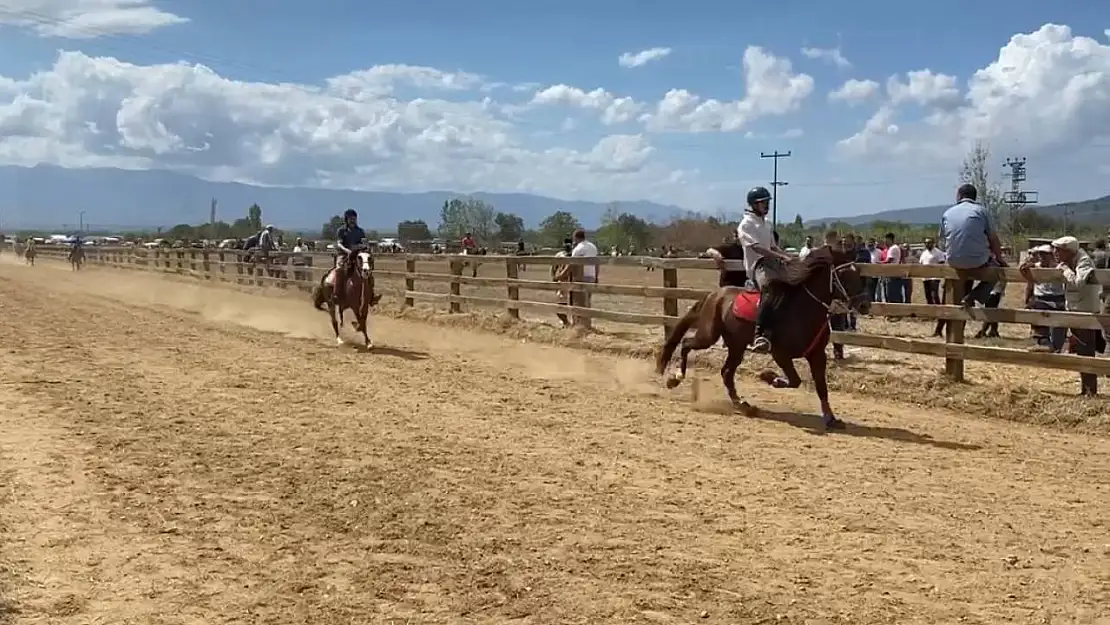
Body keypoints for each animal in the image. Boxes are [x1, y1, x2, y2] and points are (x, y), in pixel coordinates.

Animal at [652, 248, 870, 430]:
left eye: (858, 273)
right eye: (844, 275)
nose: (865, 305)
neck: (803, 310)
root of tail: (715, 294)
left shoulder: (817, 355)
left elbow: (821, 388)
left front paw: (831, 419)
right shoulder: (780, 354)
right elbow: (795, 380)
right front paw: (769, 377)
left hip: (736, 346)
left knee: (726, 373)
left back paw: (743, 405)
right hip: (708, 335)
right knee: (686, 344)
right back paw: (675, 378)